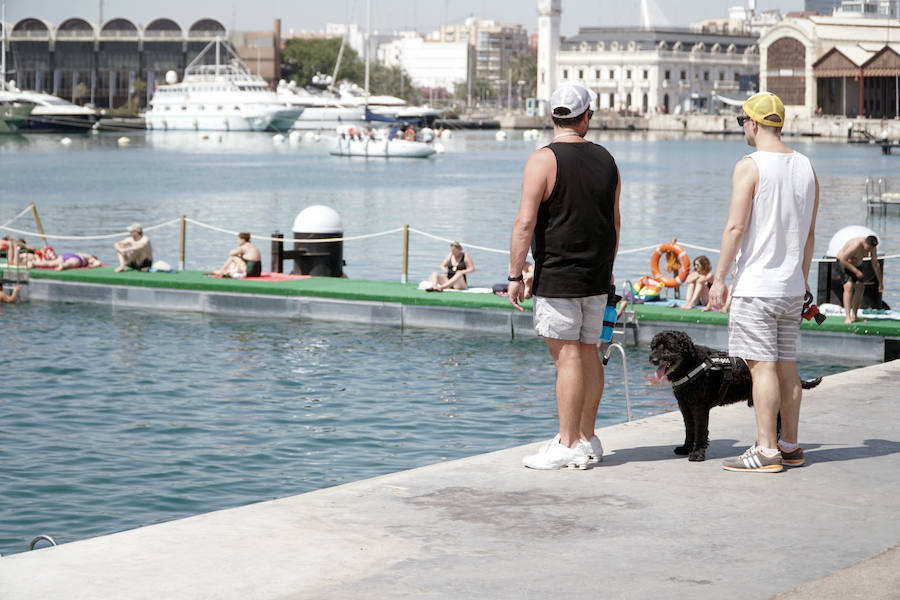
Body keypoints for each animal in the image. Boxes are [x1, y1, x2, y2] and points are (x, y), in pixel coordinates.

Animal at [648, 330, 824, 462]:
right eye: (654, 346)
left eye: (668, 347)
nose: (653, 359)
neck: (692, 365)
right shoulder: (685, 407)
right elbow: (689, 430)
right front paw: (685, 448)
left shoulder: (699, 408)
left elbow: (700, 431)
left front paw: (697, 453)